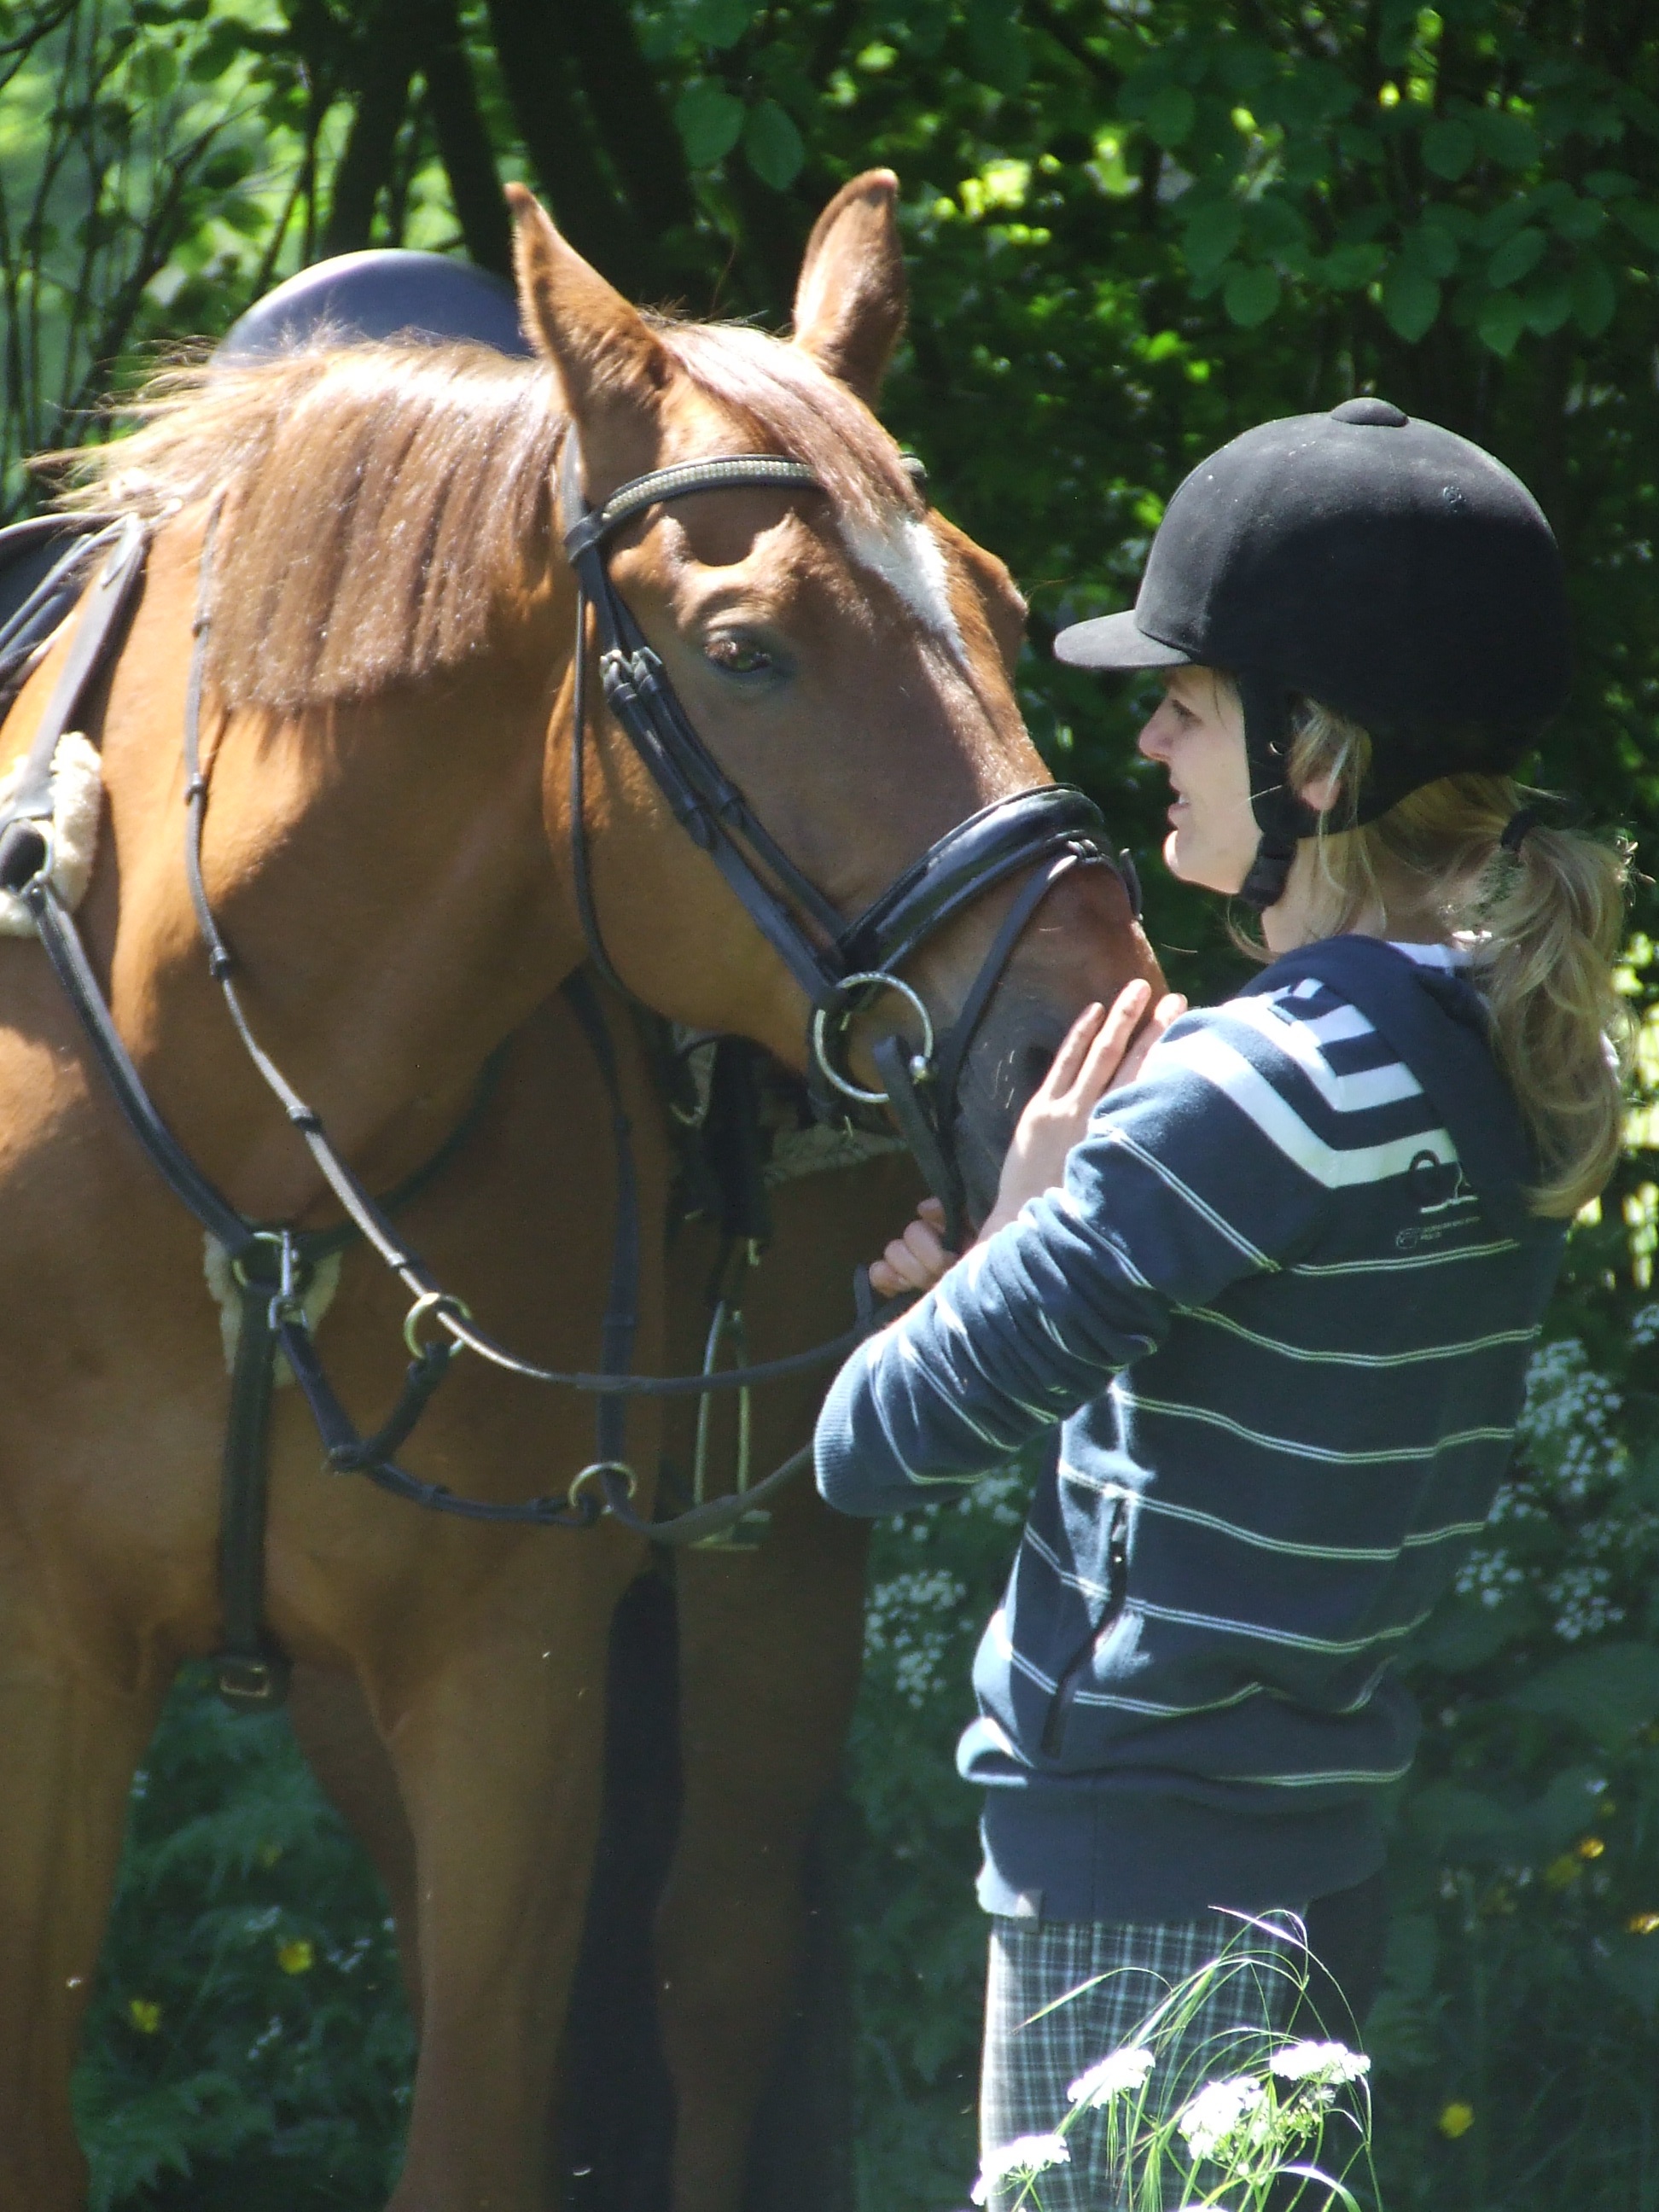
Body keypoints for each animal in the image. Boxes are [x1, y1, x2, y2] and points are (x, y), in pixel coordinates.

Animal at [3, 177, 1159, 2212]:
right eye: (747, 648)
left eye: (1002, 608)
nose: (1084, 1021)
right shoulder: (48, 1670)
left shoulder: (509, 1679)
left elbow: (488, 2116)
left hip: (773, 1566)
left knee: (714, 1964)